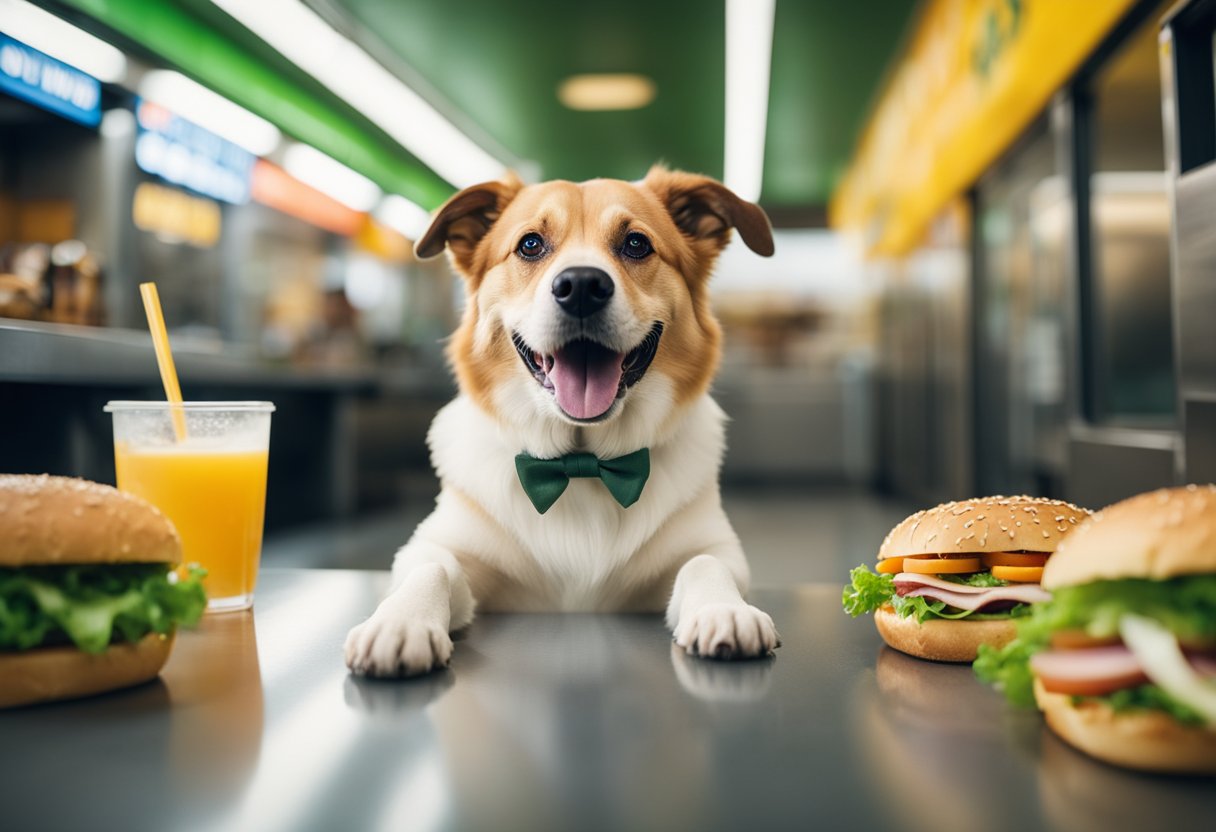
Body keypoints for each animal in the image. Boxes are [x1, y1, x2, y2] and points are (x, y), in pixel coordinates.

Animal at [345, 164, 778, 676]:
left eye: (636, 244)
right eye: (530, 244)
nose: (583, 287)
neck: (582, 464)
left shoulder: (716, 546)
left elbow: (704, 564)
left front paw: (725, 611)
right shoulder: (436, 544)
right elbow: (429, 568)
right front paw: (401, 622)